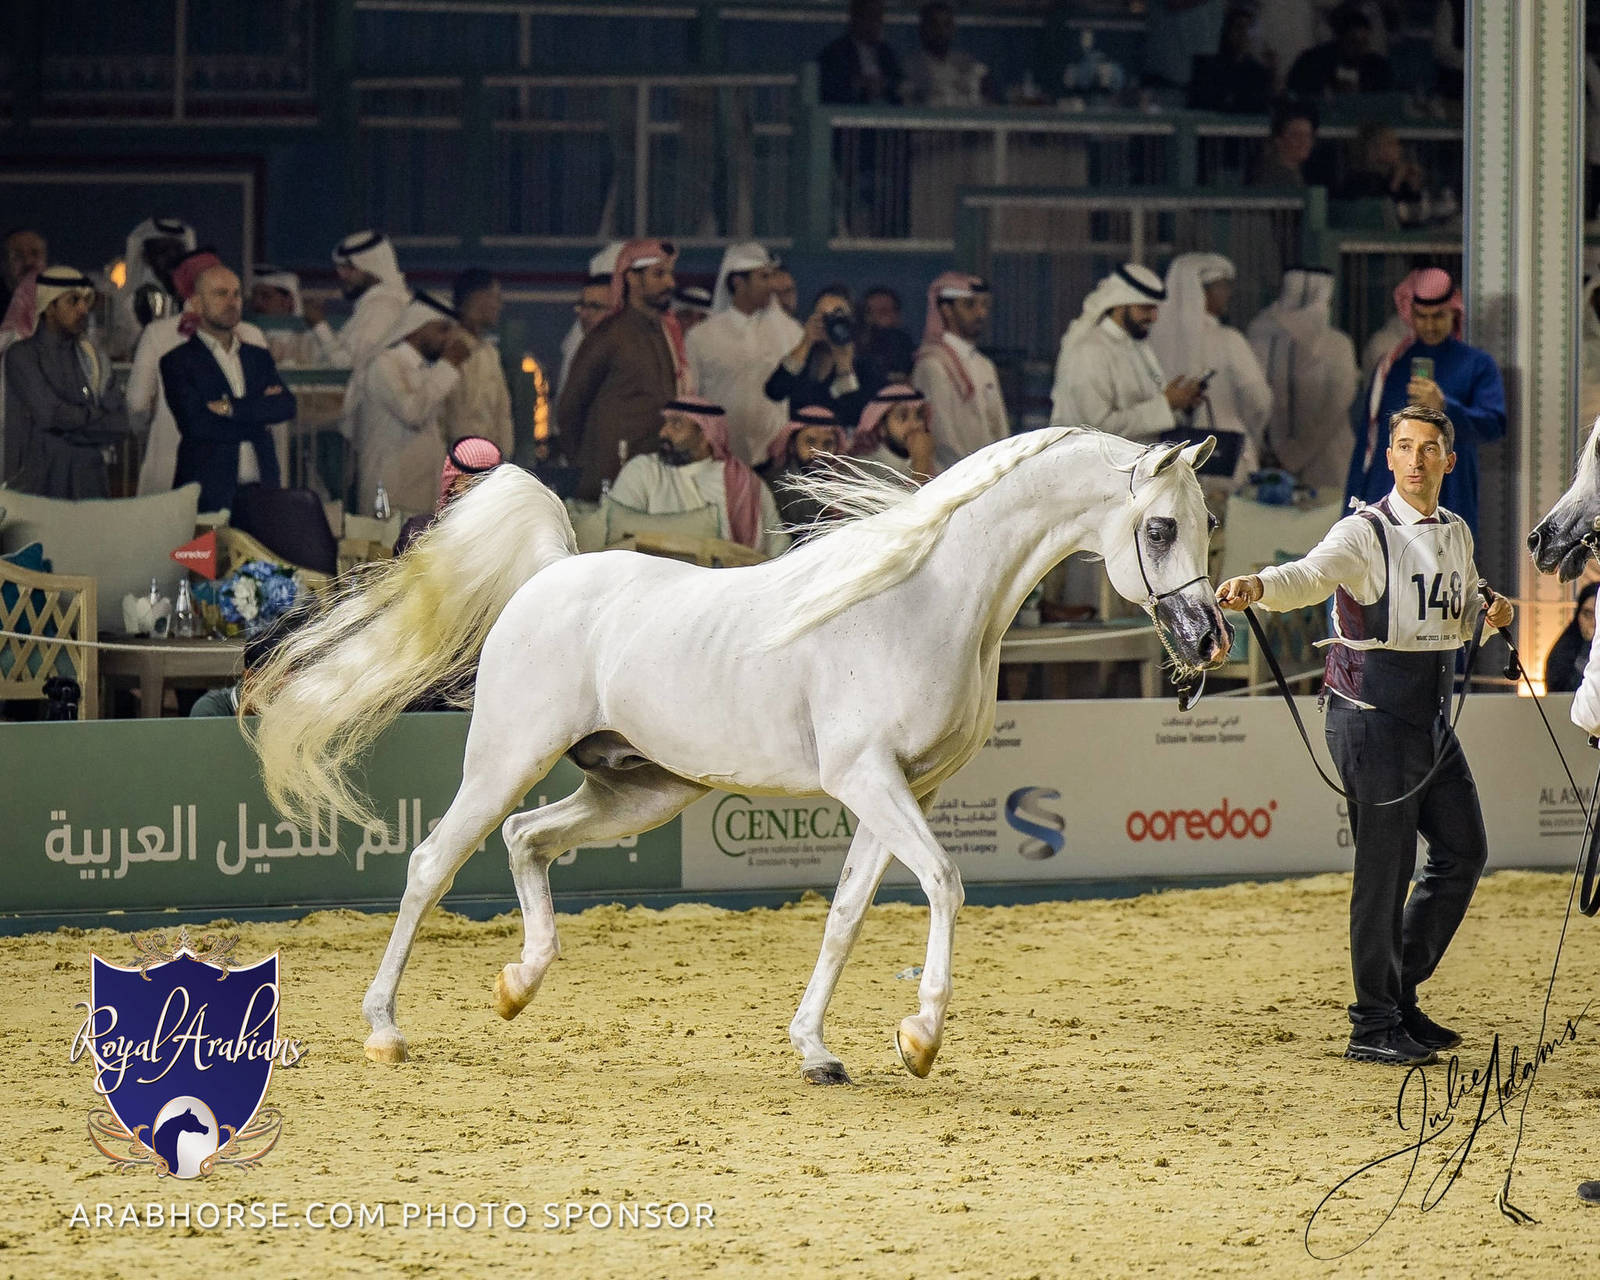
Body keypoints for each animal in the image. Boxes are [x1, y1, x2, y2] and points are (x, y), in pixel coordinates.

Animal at [244, 427, 1231, 1084]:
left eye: (1208, 522)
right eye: (1158, 530)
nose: (1208, 638)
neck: (924, 599)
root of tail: (551, 571)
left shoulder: (898, 791)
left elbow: (846, 913)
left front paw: (818, 1051)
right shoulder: (866, 778)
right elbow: (946, 884)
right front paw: (920, 1038)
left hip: (638, 790)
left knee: (528, 839)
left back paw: (518, 985)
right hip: (504, 760)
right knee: (431, 864)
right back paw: (384, 1030)